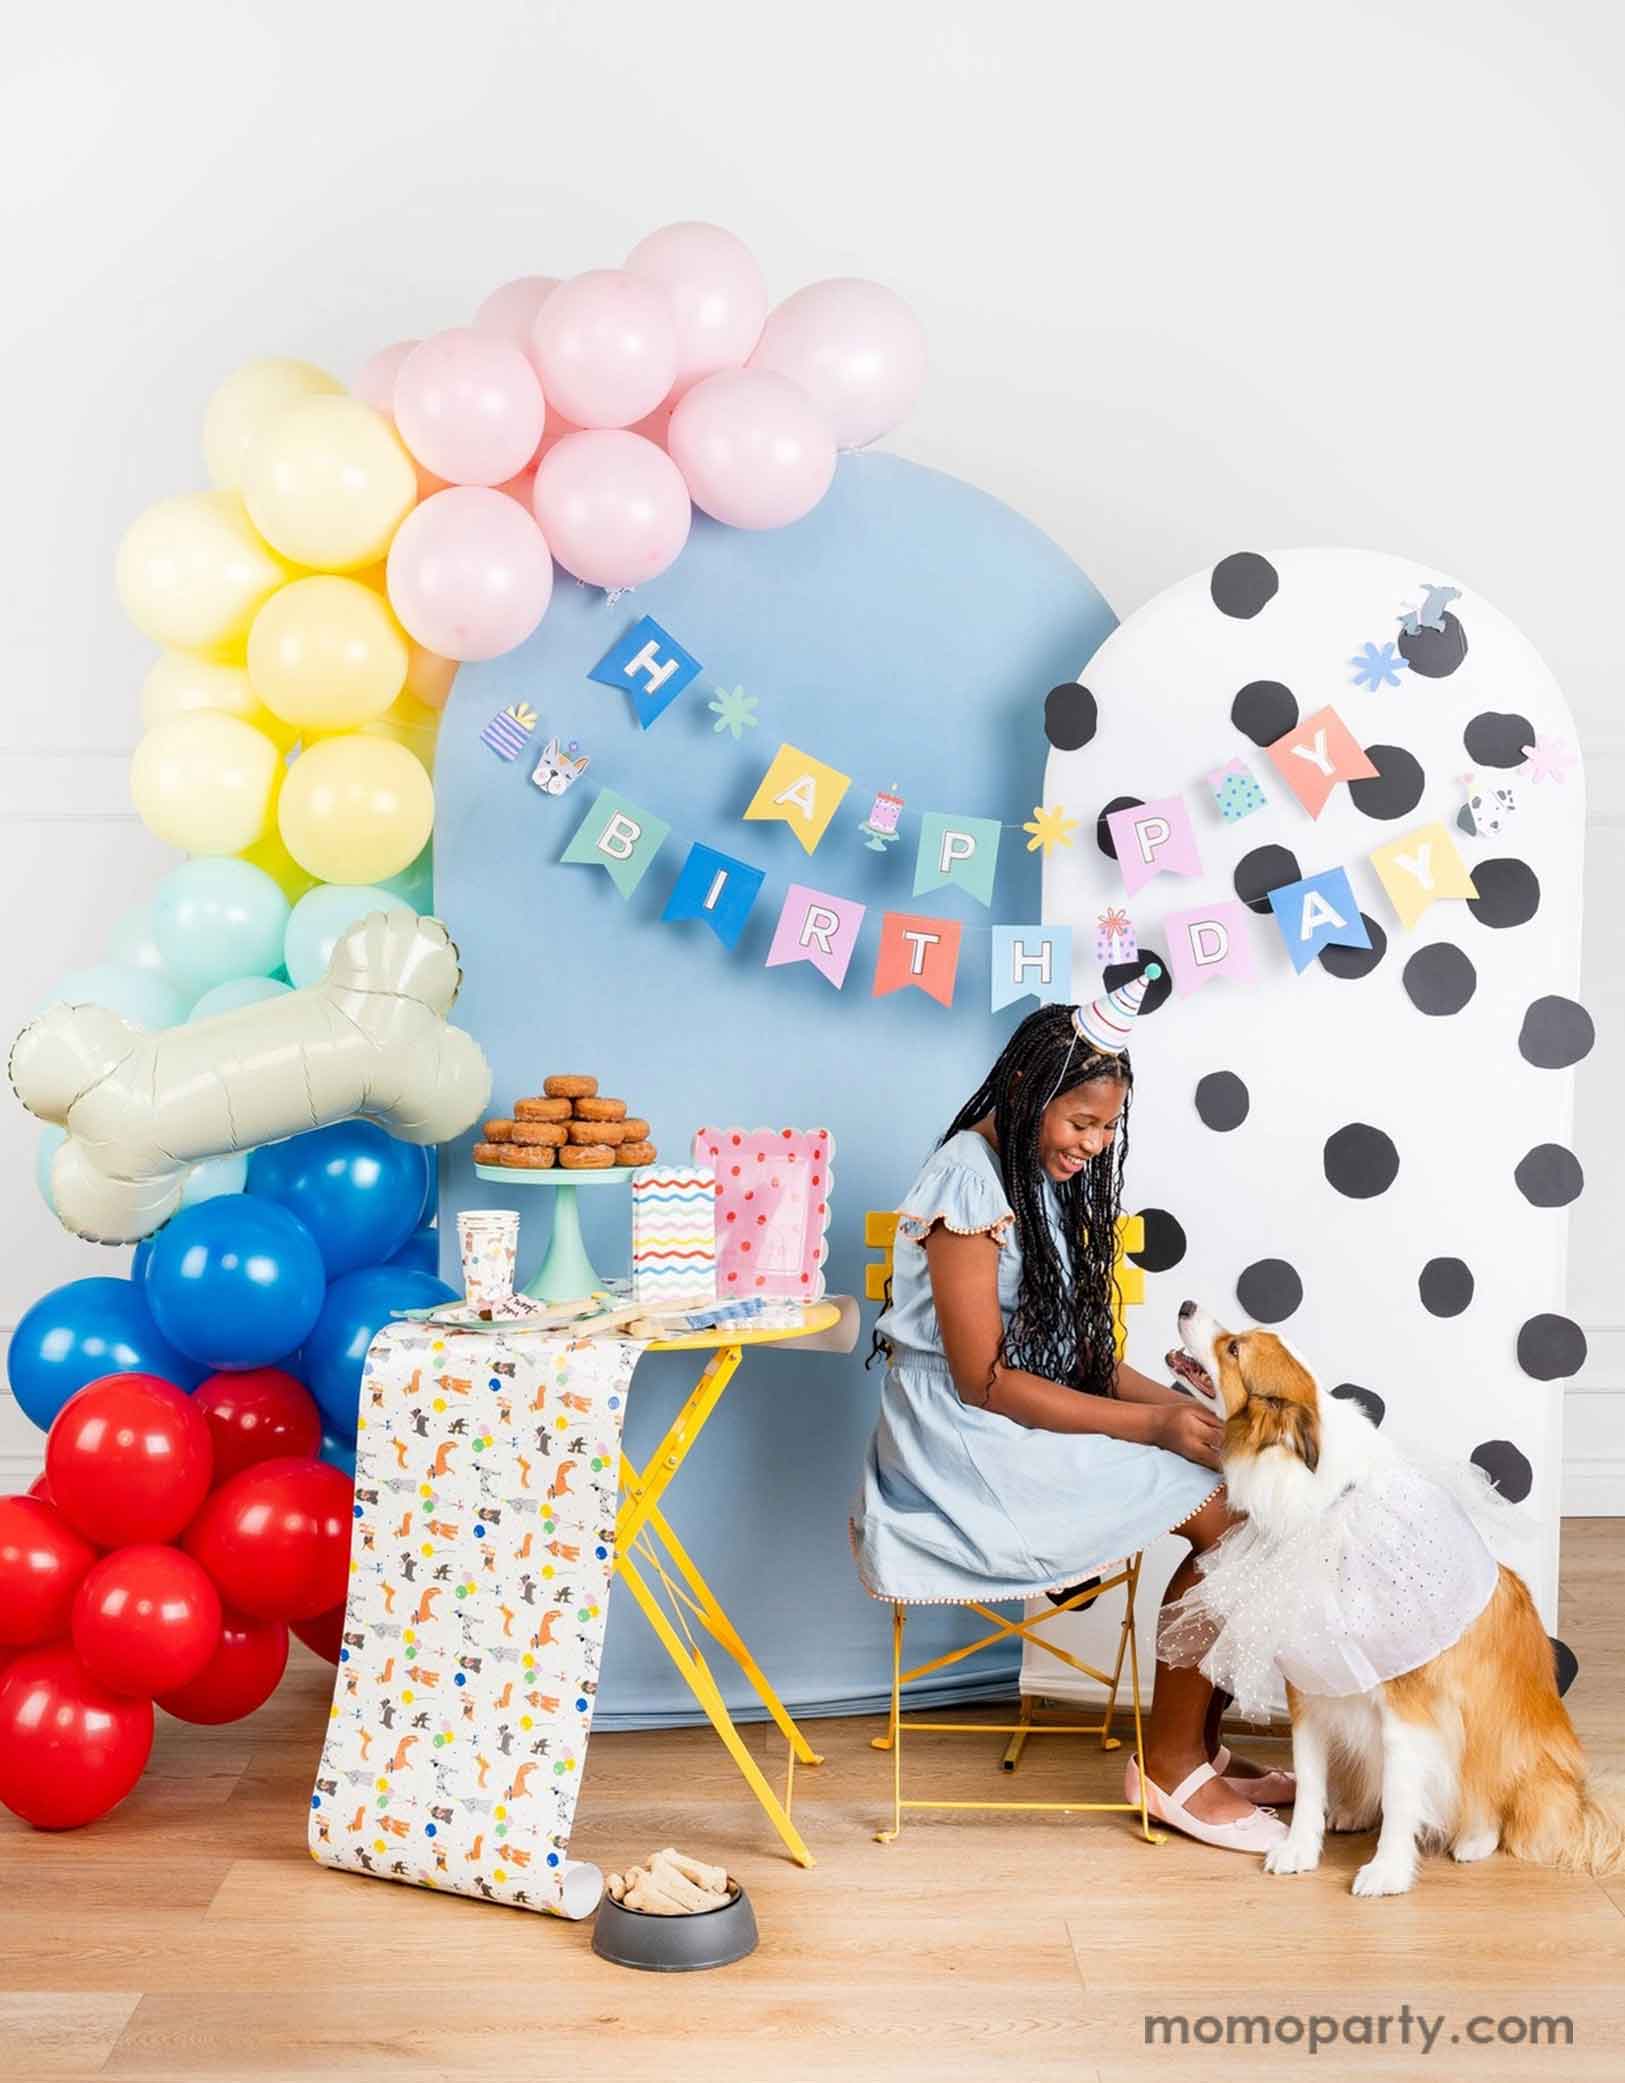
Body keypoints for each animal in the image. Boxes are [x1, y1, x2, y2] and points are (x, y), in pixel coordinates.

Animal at [1166, 1299, 1624, 1908]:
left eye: (1234, 1348)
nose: (1186, 1304)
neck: (1321, 1503)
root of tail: (1575, 1793)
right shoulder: (1308, 1687)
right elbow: (1309, 1781)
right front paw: (1300, 1849)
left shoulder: (1408, 1704)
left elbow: (1404, 1792)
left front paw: (1387, 1871)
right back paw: (1355, 1812)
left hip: (1495, 1730)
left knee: (1491, 1794)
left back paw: (1473, 1838)